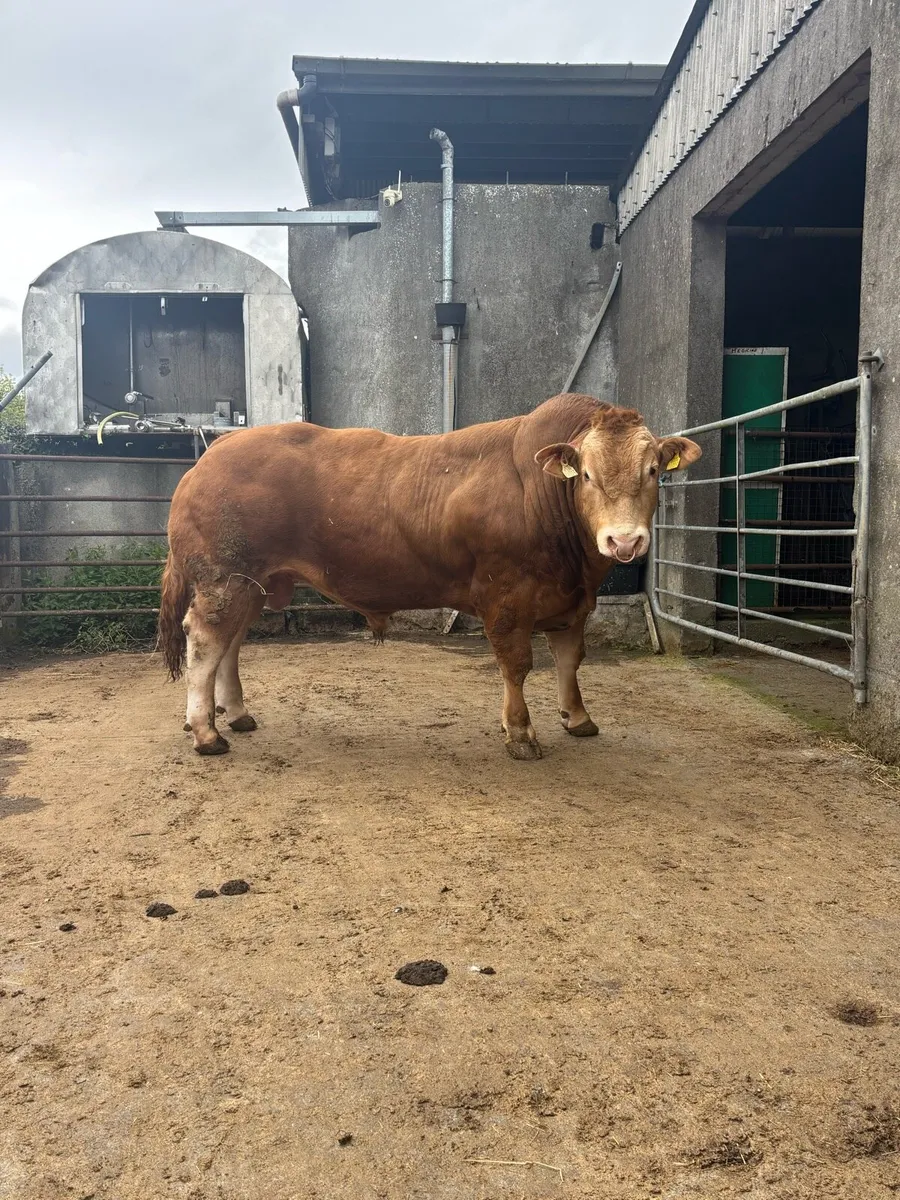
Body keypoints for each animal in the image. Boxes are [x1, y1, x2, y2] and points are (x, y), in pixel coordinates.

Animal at [157, 394, 701, 760]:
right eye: (586, 474)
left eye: (653, 470)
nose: (624, 542)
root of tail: (212, 455)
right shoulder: (507, 597)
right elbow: (517, 664)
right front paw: (520, 733)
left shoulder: (573, 600)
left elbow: (570, 660)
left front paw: (578, 718)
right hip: (224, 578)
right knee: (205, 641)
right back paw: (205, 732)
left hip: (250, 583)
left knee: (231, 644)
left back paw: (236, 714)